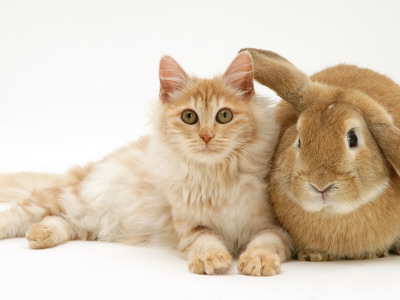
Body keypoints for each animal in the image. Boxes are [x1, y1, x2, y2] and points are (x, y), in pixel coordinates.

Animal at [0, 51, 294, 276]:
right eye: (189, 117)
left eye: (224, 116)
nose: (206, 136)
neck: (216, 176)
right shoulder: (191, 229)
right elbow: (206, 241)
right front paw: (210, 259)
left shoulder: (275, 228)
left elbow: (265, 243)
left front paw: (257, 260)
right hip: (71, 196)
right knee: (21, 212)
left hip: (91, 220)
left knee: (61, 221)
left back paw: (40, 234)